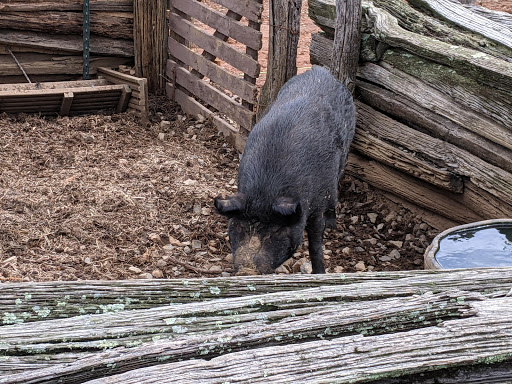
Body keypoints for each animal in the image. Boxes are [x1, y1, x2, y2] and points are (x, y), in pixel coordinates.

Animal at [214, 67, 354, 276]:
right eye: (239, 226)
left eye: (275, 232)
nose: (247, 270)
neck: (264, 192)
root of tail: (321, 71)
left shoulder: (316, 205)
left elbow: (315, 245)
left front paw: (319, 273)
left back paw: (332, 225)